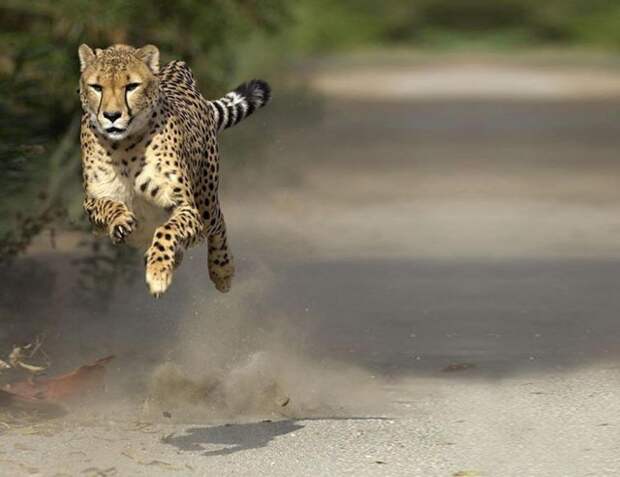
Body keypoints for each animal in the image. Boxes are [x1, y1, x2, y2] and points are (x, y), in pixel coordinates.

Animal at [77, 45, 272, 298]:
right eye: (96, 87)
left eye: (131, 86)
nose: (112, 116)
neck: (123, 147)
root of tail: (178, 67)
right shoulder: (91, 202)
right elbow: (107, 205)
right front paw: (121, 221)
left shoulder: (186, 208)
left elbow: (167, 230)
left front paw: (158, 272)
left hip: (206, 203)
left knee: (218, 222)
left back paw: (222, 270)